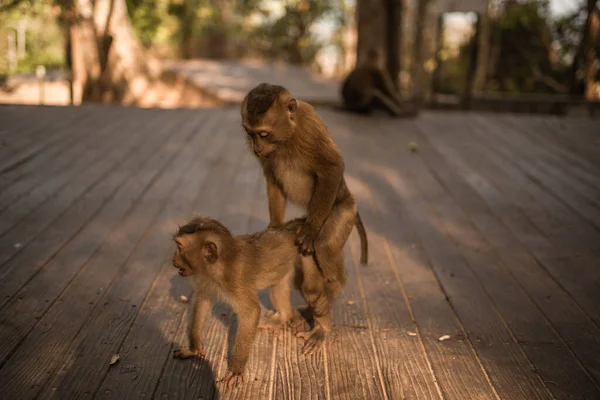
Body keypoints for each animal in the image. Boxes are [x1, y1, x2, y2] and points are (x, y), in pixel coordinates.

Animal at [169, 216, 324, 388]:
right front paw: (194, 350)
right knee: (277, 287)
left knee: (311, 287)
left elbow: (251, 313)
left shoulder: (236, 280)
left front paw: (236, 370)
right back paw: (285, 316)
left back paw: (319, 331)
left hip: (307, 252)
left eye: (179, 247)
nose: (173, 259)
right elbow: (201, 302)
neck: (219, 266)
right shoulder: (205, 278)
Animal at [241, 82, 368, 354]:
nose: (256, 148)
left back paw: (332, 293)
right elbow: (272, 177)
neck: (287, 138)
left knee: (325, 245)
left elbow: (331, 168)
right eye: (250, 133)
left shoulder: (310, 126)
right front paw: (275, 227)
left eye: (263, 134)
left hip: (344, 209)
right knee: (305, 282)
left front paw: (310, 232)